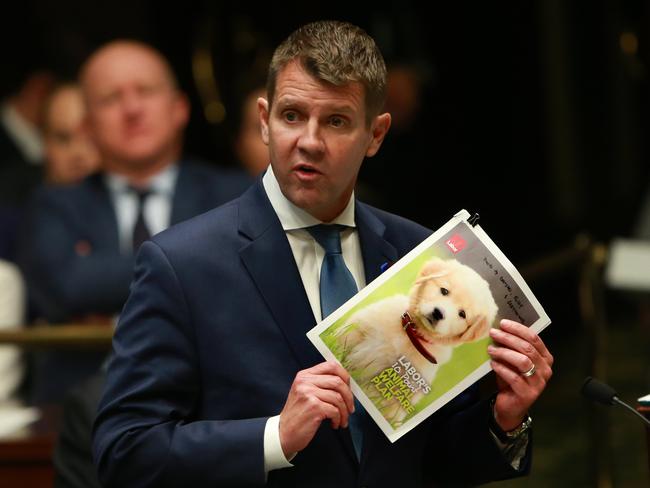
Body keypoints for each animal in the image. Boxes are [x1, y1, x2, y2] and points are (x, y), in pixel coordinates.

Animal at [334, 260, 496, 424]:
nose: (438, 313)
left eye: (462, 314)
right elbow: (340, 343)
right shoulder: (358, 328)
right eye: (444, 291)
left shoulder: (399, 390)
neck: (411, 334)